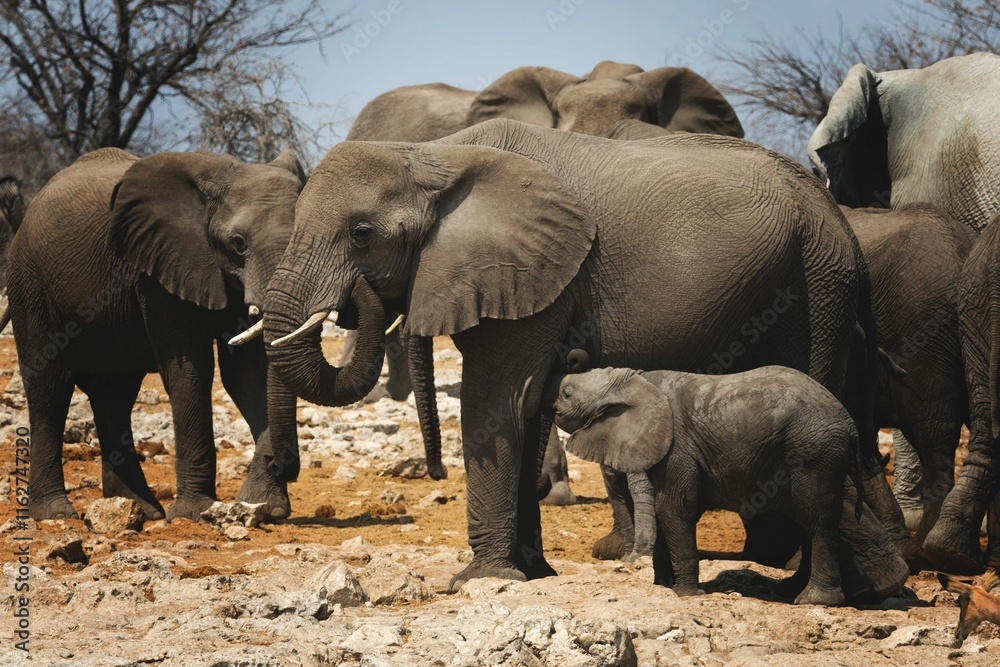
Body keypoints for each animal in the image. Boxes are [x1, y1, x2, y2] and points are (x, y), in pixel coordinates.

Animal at [3, 146, 334, 522]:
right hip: (29, 285)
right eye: (237, 243)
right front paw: (197, 514)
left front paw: (265, 506)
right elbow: (190, 370)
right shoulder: (158, 271)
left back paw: (139, 509)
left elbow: (248, 374)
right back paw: (56, 513)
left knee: (114, 396)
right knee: (51, 388)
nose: (281, 465)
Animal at [548, 364, 876, 604]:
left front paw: (686, 595)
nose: (553, 406)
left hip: (814, 454)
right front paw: (662, 589)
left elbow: (675, 507)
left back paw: (813, 601)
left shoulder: (678, 447)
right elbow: (668, 510)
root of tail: (849, 422)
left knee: (818, 521)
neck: (632, 380)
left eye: (566, 393)